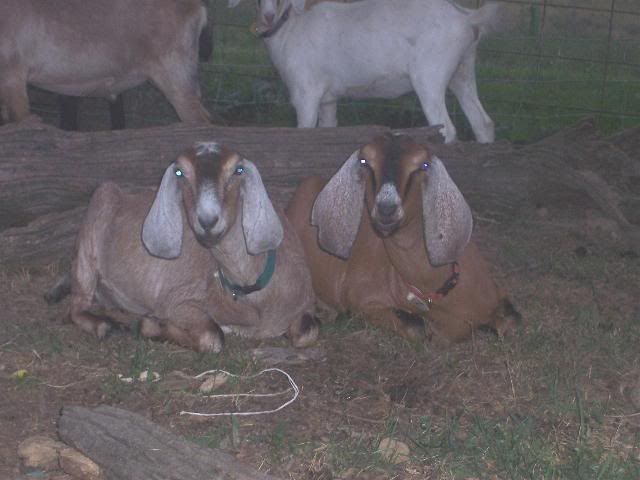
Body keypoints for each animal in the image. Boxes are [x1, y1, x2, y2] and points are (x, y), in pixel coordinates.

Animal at [47, 143, 319, 352]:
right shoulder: (177, 300)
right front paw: (152, 326)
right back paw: (104, 325)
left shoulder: (305, 304)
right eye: (180, 172)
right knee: (77, 306)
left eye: (238, 170)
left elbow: (309, 332)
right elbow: (213, 337)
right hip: (92, 227)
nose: (207, 220)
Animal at [229, 0, 499, 143]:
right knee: (482, 122)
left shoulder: (306, 95)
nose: (268, 16)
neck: (290, 26)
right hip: (462, 73)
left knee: (447, 130)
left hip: (429, 77)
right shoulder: (328, 100)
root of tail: (466, 18)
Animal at [286, 133, 519, 343]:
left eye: (423, 165)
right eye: (364, 161)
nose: (386, 208)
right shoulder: (363, 298)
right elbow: (417, 327)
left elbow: (511, 319)